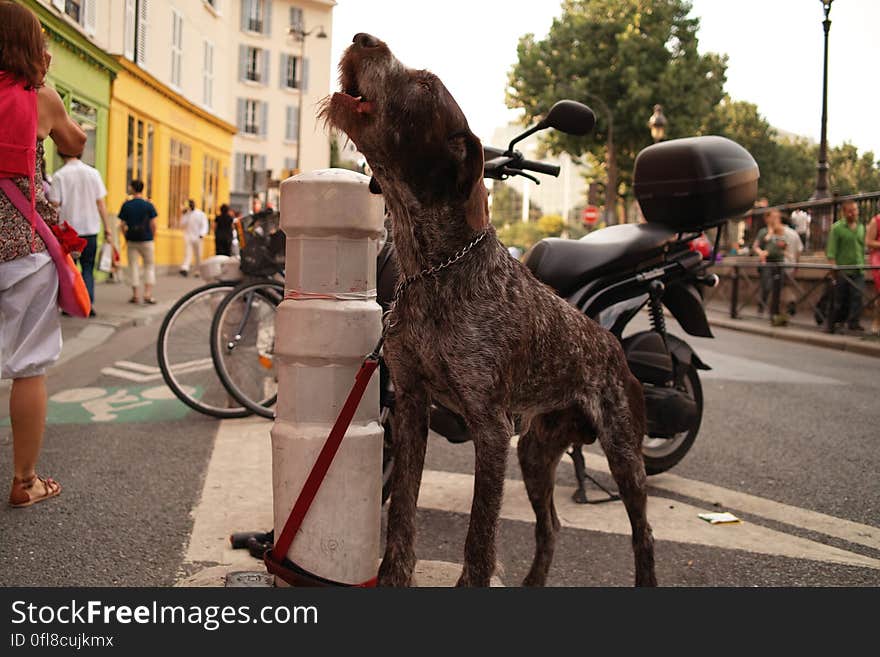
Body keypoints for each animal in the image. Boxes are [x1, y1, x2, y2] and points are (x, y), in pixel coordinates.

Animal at [322, 32, 652, 584]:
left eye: (425, 85)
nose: (363, 38)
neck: (433, 270)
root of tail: (610, 342)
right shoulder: (411, 405)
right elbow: (403, 514)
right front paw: (393, 576)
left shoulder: (490, 429)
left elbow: (479, 540)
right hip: (536, 453)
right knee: (551, 526)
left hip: (623, 451)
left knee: (642, 535)